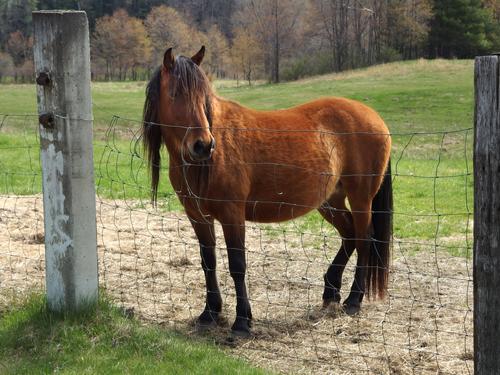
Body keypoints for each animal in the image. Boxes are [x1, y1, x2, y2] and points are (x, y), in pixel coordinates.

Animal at [143, 45, 392, 336]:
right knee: (350, 235)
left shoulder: (232, 215)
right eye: (174, 94)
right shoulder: (198, 217)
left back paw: (354, 300)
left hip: (361, 198)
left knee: (365, 239)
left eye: (203, 96)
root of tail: (374, 117)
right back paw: (331, 290)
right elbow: (208, 262)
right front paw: (209, 314)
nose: (203, 145)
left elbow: (237, 265)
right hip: (330, 201)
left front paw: (242, 321)